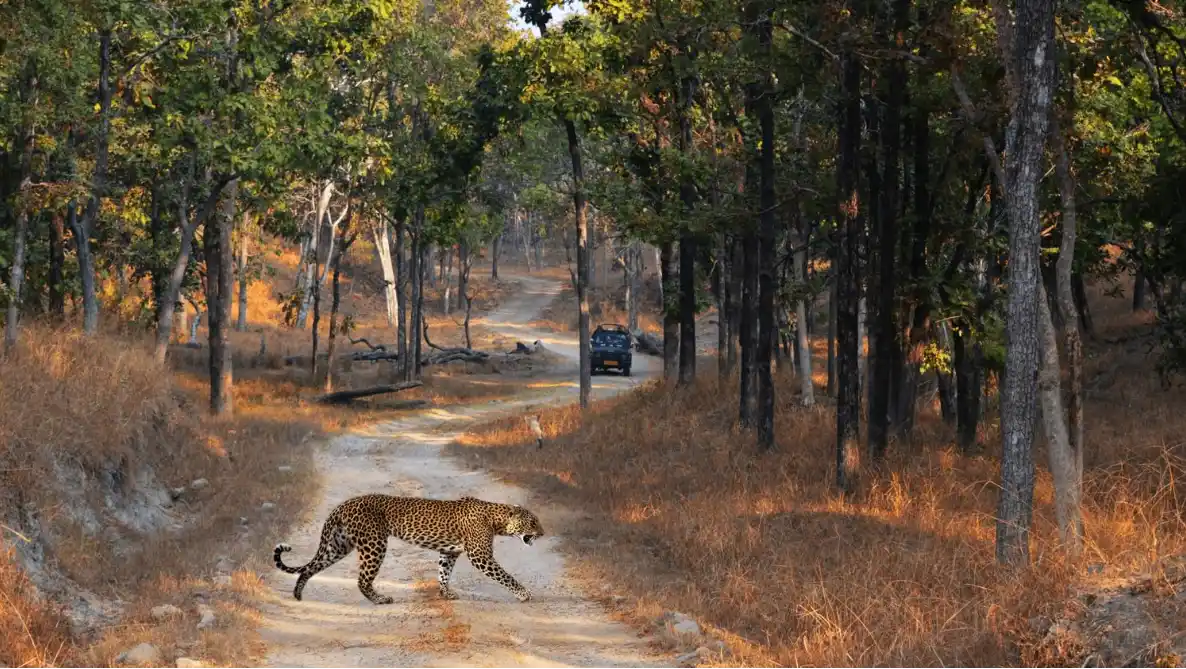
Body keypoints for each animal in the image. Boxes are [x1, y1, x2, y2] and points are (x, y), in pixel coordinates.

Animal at [273, 493, 545, 605]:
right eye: (532, 522)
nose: (543, 533)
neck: (497, 519)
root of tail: (343, 505)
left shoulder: (449, 552)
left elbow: (443, 573)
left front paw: (446, 594)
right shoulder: (480, 556)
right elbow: (505, 576)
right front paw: (524, 594)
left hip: (338, 545)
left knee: (310, 568)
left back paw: (297, 595)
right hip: (374, 544)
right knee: (362, 580)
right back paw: (381, 600)